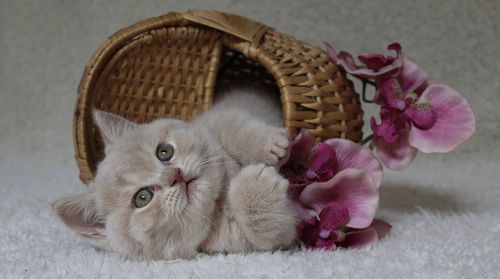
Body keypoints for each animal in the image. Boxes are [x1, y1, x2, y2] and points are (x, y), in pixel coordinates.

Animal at [52, 86, 298, 262]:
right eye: (143, 197)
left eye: (164, 152)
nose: (175, 176)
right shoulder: (240, 240)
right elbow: (268, 232)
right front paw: (256, 185)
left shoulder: (216, 117)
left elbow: (232, 127)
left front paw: (268, 145)